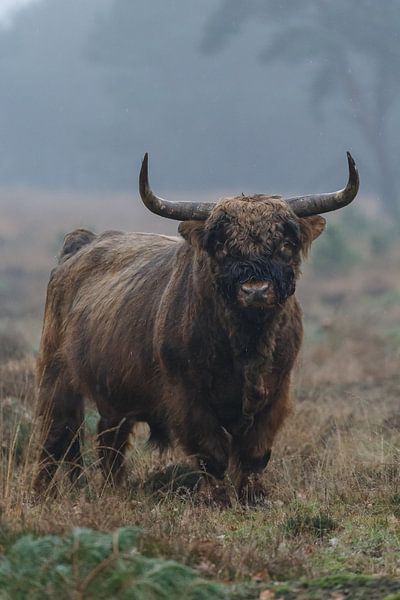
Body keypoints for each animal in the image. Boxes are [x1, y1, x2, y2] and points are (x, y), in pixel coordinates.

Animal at [35, 151, 360, 502]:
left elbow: (255, 454)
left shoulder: (276, 394)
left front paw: (253, 498)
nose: (255, 290)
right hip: (56, 377)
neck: (246, 345)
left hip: (113, 394)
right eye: (221, 246)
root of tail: (81, 243)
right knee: (55, 435)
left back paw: (114, 491)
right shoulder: (189, 398)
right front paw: (217, 500)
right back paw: (42, 494)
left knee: (109, 442)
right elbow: (211, 453)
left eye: (285, 244)